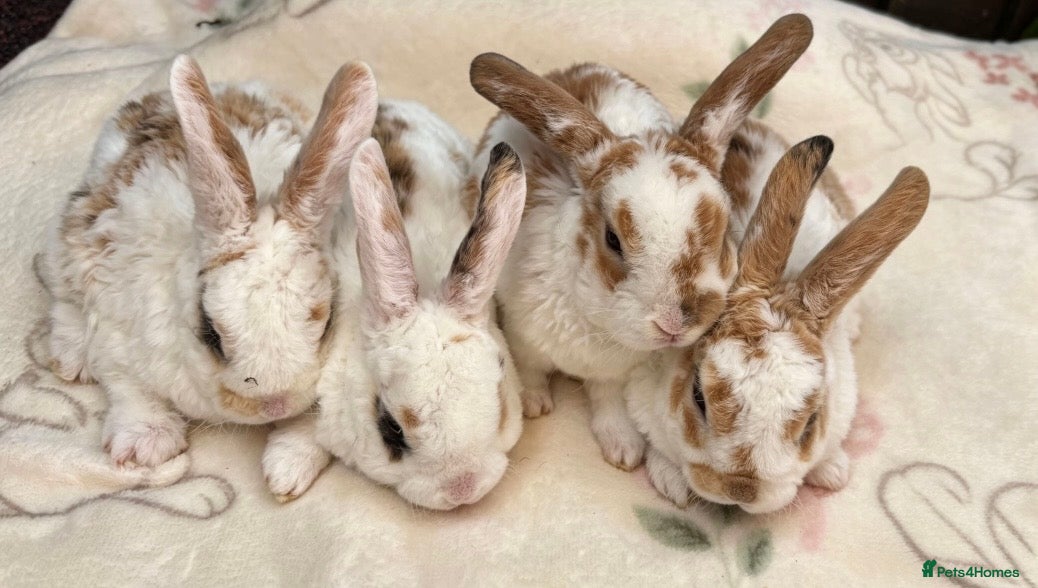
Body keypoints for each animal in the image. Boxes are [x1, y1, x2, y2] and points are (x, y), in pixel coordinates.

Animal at [38, 55, 379, 467]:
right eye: (211, 333)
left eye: (326, 323)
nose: (273, 404)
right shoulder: (118, 336)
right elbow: (130, 388)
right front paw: (147, 445)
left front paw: (286, 465)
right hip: (70, 240)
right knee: (63, 294)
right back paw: (73, 358)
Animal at [466, 14, 814, 470]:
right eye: (613, 239)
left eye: (723, 235)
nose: (675, 324)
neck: (597, 324)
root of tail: (574, 68)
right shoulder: (524, 339)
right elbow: (531, 373)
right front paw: (535, 405)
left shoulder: (616, 375)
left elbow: (608, 403)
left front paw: (624, 451)